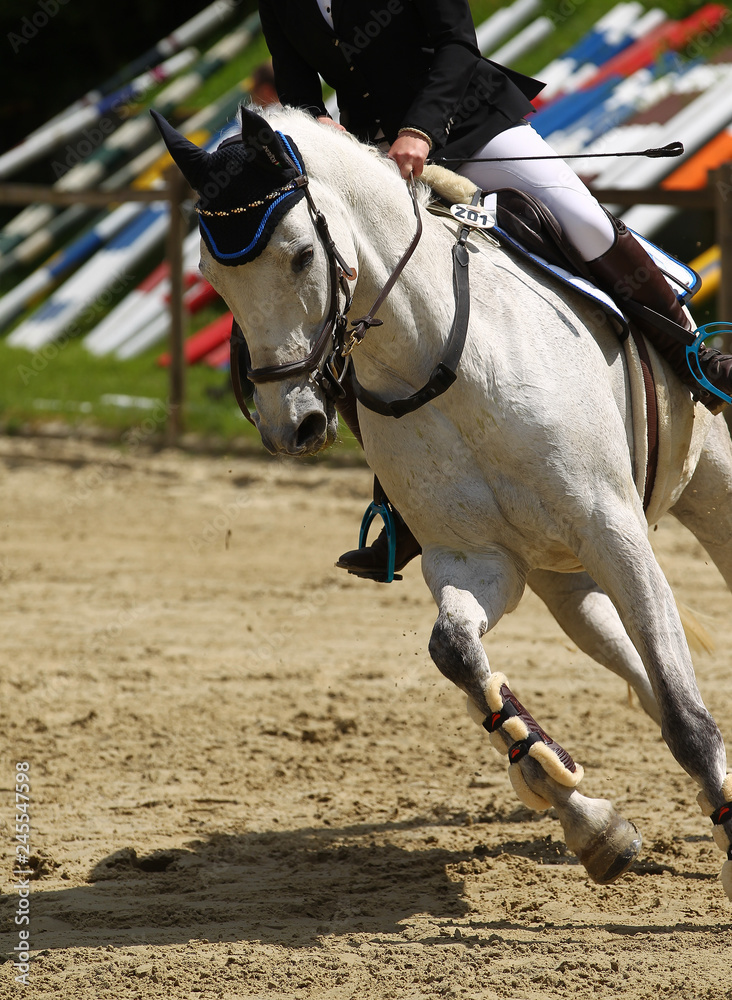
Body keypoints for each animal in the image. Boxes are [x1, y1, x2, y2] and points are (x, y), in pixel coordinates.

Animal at [153, 105, 732, 899]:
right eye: (213, 278)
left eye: (301, 257)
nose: (287, 427)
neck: (438, 358)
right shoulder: (475, 560)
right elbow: (457, 652)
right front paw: (580, 810)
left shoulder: (614, 531)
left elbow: (684, 715)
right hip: (562, 577)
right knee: (629, 664)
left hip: (706, 488)